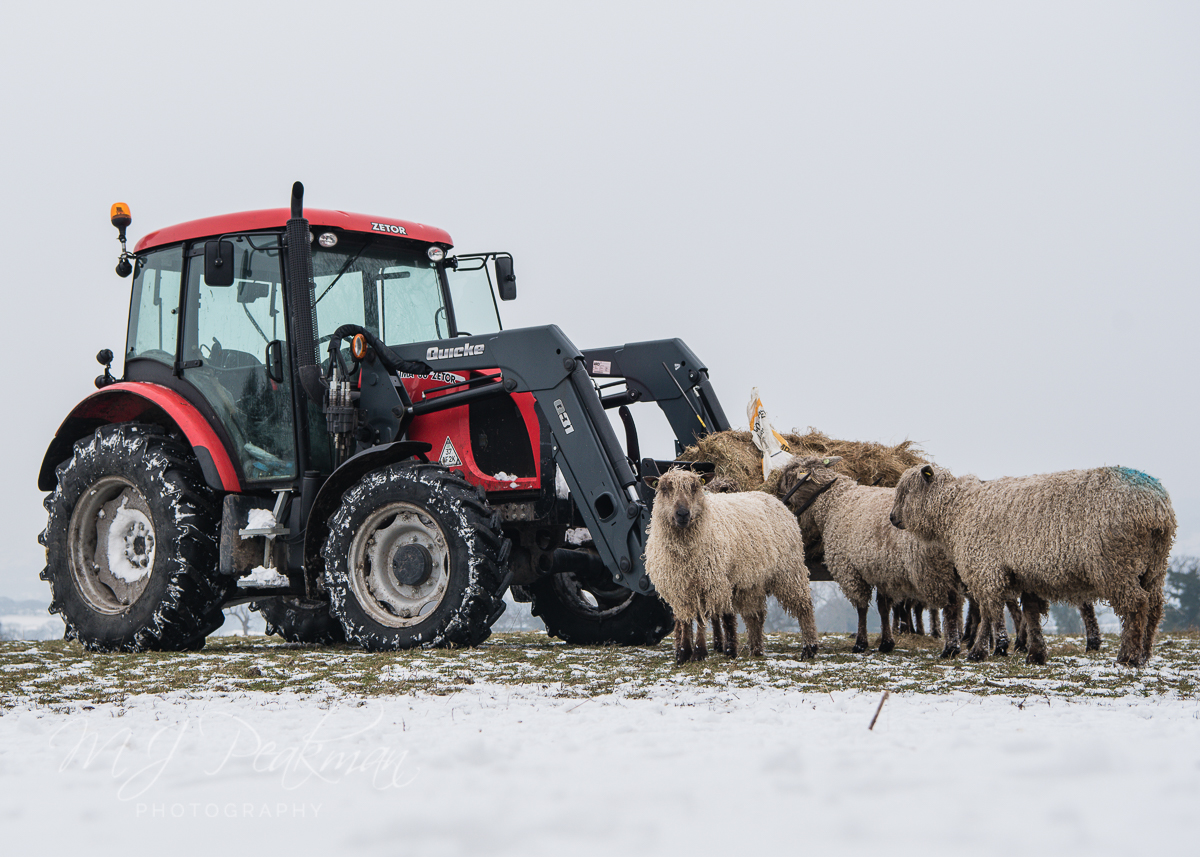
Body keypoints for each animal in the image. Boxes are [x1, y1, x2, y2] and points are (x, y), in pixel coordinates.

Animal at [643, 468, 819, 663]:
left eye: (695, 488)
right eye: (664, 489)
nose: (682, 514)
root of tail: (775, 499)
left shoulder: (709, 582)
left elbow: (703, 618)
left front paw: (700, 652)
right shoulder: (678, 588)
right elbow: (685, 620)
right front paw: (683, 653)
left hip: (789, 569)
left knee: (804, 607)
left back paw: (809, 648)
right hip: (752, 581)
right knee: (755, 615)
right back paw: (755, 649)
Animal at [775, 457, 965, 658]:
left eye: (789, 477)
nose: (779, 490)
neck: (837, 500)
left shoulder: (849, 569)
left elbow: (861, 607)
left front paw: (860, 643)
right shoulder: (881, 570)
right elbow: (883, 607)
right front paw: (886, 643)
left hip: (934, 566)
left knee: (951, 603)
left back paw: (951, 647)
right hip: (955, 567)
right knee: (959, 604)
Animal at [889, 464, 1175, 666]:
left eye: (906, 491)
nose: (892, 518)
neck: (958, 511)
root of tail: (1156, 507)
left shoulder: (986, 567)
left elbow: (988, 612)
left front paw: (978, 652)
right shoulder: (1025, 575)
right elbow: (1030, 613)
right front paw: (1035, 654)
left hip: (1116, 563)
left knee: (1136, 605)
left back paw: (1128, 657)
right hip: (1154, 565)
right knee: (1155, 606)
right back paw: (1144, 654)